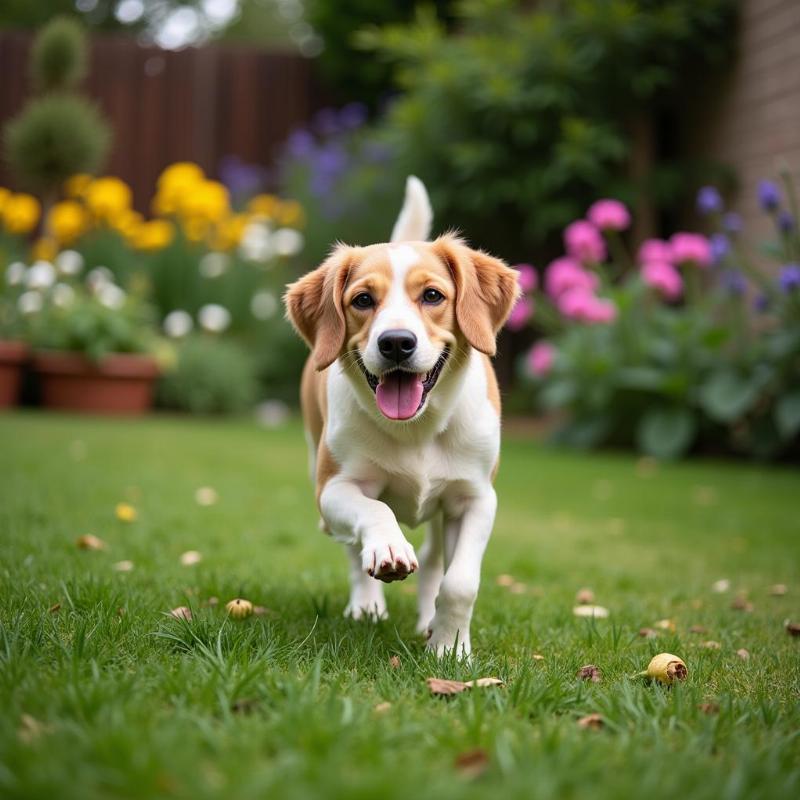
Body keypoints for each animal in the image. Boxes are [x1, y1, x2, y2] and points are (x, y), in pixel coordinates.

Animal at [284, 177, 520, 656]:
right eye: (362, 299)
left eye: (432, 295)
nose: (395, 342)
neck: (417, 429)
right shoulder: (333, 489)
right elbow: (373, 511)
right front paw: (389, 549)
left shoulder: (476, 497)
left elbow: (460, 582)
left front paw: (450, 649)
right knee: (353, 550)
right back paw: (366, 605)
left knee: (433, 561)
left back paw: (428, 619)